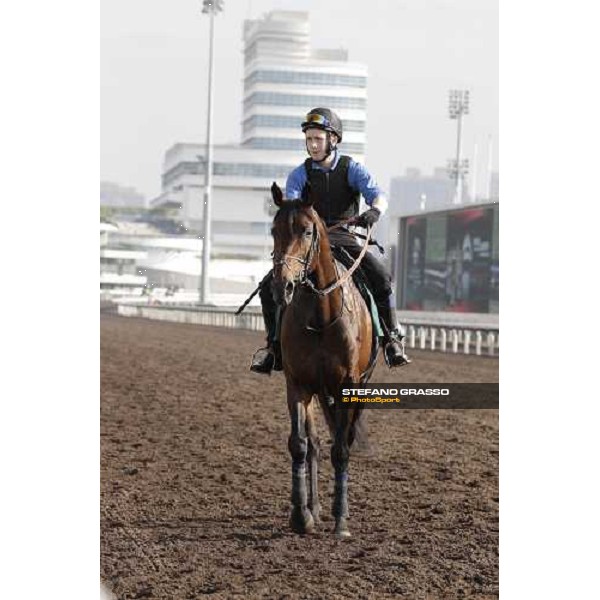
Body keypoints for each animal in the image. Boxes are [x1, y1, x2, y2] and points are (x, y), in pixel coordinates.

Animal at [270, 180, 378, 536]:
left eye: (306, 231)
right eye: (274, 230)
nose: (282, 286)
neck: (320, 316)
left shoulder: (349, 386)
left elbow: (341, 448)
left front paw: (341, 518)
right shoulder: (298, 384)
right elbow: (300, 444)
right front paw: (300, 515)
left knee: (344, 438)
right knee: (316, 443)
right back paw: (315, 508)